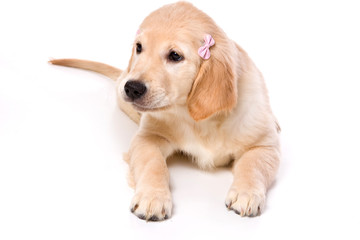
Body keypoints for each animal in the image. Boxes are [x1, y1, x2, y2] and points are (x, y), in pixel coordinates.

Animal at [50, 1, 282, 221]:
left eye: (175, 56)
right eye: (139, 47)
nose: (132, 87)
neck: (199, 120)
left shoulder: (264, 145)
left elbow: (252, 166)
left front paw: (246, 193)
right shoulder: (147, 137)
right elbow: (154, 163)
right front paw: (153, 197)